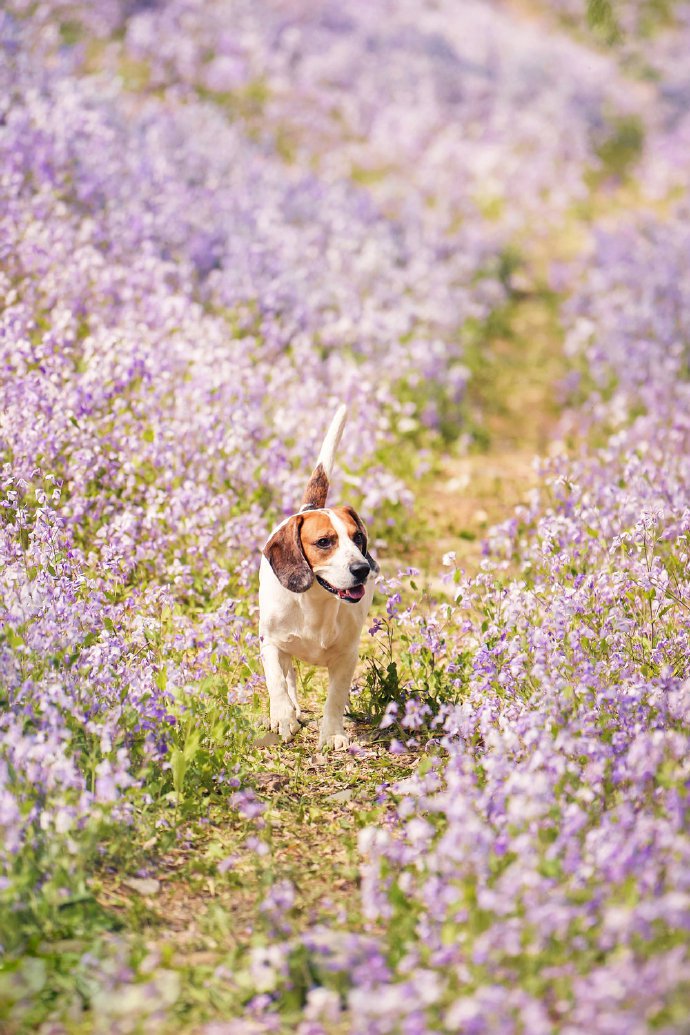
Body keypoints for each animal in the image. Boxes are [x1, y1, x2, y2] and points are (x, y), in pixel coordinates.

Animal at [257, 399, 378, 749]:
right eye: (325, 541)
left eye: (358, 538)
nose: (362, 569)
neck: (315, 604)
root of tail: (308, 507)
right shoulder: (270, 643)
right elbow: (277, 684)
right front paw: (283, 717)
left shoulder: (347, 655)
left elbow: (335, 696)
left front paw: (333, 732)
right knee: (288, 677)